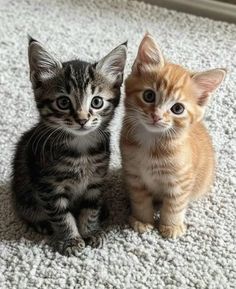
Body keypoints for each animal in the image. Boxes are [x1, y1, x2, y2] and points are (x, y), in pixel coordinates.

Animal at [12, 36, 127, 254]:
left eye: (97, 102)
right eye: (63, 102)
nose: (82, 119)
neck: (81, 149)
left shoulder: (96, 180)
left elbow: (90, 208)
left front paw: (90, 231)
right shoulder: (49, 186)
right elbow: (61, 215)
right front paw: (71, 239)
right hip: (23, 192)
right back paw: (40, 223)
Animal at [121, 33, 226, 237]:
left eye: (177, 108)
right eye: (149, 96)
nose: (156, 116)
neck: (151, 142)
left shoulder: (180, 182)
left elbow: (174, 206)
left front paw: (171, 226)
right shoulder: (134, 175)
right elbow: (140, 200)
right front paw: (142, 220)